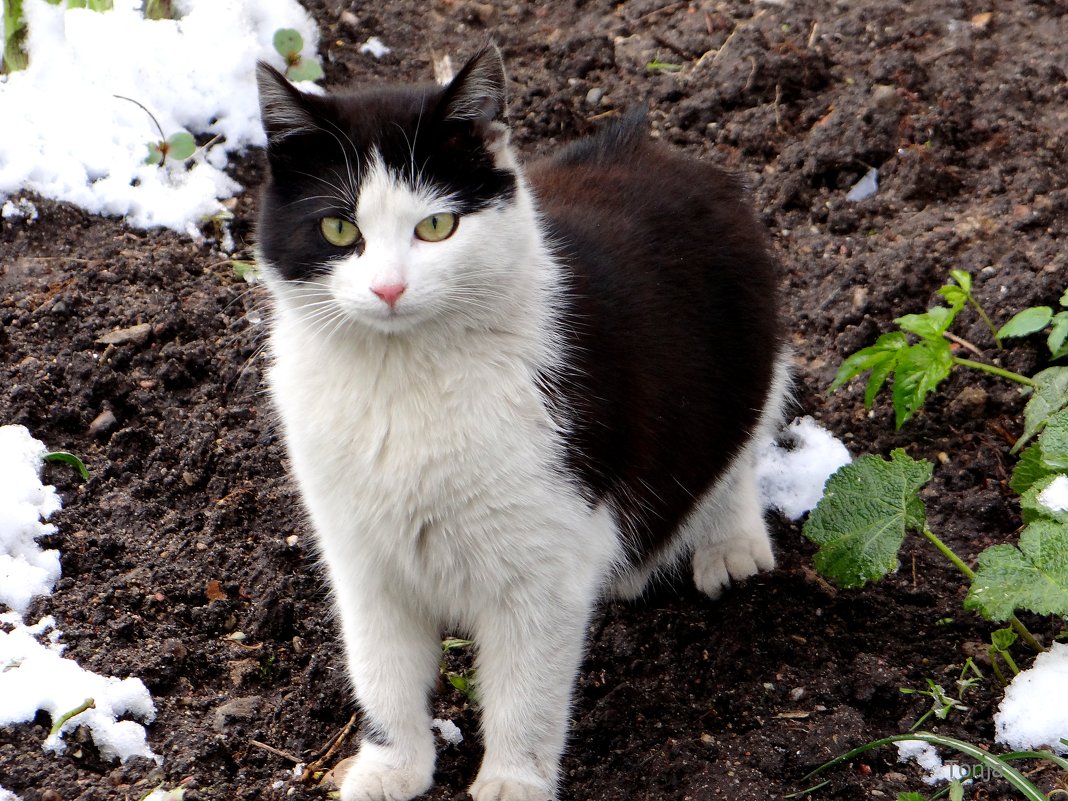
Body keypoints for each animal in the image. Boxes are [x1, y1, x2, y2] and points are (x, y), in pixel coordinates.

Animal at [255, 46, 790, 801]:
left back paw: (729, 544)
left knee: (735, 449)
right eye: (338, 228)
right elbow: (381, 671)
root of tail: (645, 145)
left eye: (436, 226)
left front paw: (513, 780)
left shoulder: (543, 563)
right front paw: (395, 766)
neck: (405, 380)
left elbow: (526, 692)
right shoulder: (362, 558)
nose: (389, 288)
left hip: (747, 358)